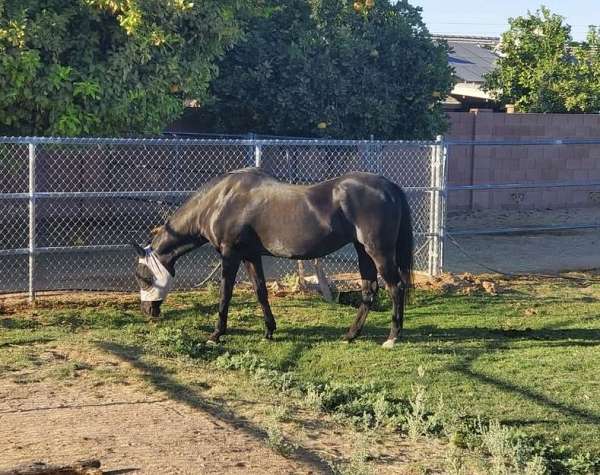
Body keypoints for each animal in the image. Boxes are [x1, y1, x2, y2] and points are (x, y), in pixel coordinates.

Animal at [132, 169, 412, 348]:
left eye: (143, 277)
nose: (147, 311)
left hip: (378, 251)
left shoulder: (230, 254)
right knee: (369, 290)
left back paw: (392, 338)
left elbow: (225, 294)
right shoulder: (251, 255)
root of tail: (389, 186)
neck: (220, 200)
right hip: (362, 250)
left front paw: (215, 335)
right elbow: (260, 291)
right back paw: (350, 335)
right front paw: (269, 330)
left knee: (395, 287)